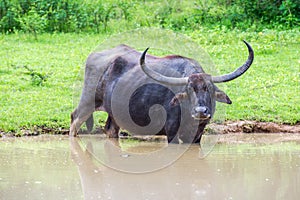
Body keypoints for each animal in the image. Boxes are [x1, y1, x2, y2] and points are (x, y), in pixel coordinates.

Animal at [69, 40, 253, 143]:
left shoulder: (197, 136)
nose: (201, 111)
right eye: (189, 89)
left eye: (210, 89)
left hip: (114, 114)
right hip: (87, 102)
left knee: (110, 130)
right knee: (74, 120)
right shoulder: (172, 134)